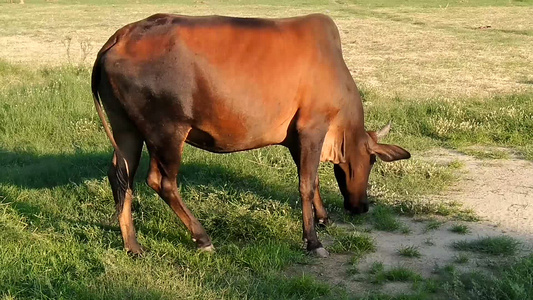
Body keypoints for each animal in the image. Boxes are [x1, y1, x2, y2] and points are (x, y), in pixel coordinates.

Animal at [91, 13, 410, 258]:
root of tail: (120, 37)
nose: (362, 207)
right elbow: (306, 184)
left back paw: (132, 245)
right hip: (167, 131)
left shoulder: (296, 137)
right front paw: (313, 241)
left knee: (120, 177)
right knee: (161, 181)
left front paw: (323, 218)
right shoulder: (312, 127)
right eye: (371, 161)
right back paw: (203, 238)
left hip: (126, 129)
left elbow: (314, 179)